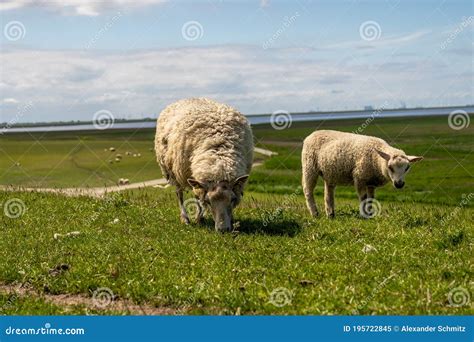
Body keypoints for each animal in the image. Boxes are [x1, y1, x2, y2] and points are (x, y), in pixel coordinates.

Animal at [156, 99, 254, 232]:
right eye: (208, 201)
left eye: (232, 199)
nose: (223, 229)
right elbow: (199, 199)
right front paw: (198, 219)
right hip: (172, 170)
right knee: (179, 193)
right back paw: (185, 218)